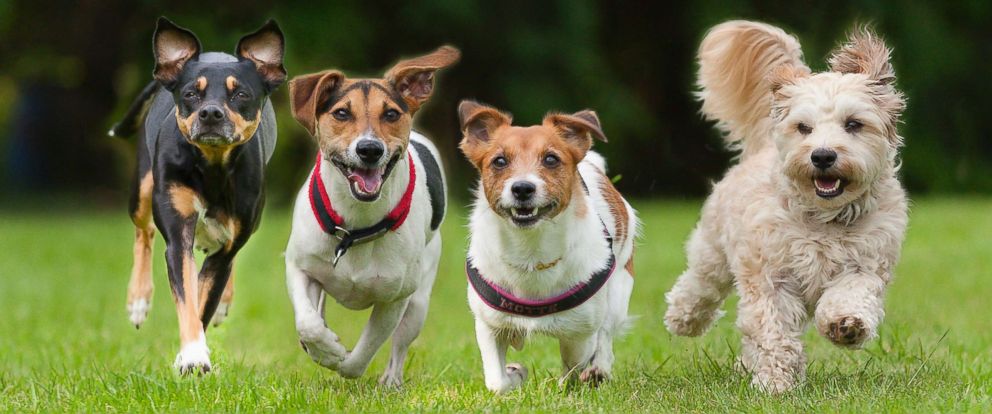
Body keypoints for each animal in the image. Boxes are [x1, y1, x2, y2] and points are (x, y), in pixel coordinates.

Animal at [109, 17, 286, 376]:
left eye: (241, 94)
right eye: (191, 93)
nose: (211, 113)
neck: (212, 167)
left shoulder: (228, 244)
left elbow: (204, 301)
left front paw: (191, 354)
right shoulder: (179, 236)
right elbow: (188, 299)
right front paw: (192, 356)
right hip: (142, 189)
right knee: (143, 232)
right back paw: (138, 300)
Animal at [284, 47, 460, 386]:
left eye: (390, 114)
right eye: (341, 113)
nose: (369, 149)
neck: (355, 227)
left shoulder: (395, 298)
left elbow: (362, 354)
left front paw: (339, 359)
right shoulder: (300, 266)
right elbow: (308, 323)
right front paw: (325, 347)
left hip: (419, 300)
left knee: (400, 344)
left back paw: (391, 381)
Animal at [462, 101, 640, 394]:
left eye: (551, 159)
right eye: (499, 161)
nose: (522, 188)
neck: (531, 253)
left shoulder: (580, 333)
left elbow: (573, 366)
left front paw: (571, 382)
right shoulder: (489, 325)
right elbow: (497, 382)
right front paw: (515, 374)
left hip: (619, 289)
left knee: (605, 334)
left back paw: (599, 369)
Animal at [668, 20, 908, 394]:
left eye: (853, 124)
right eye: (803, 127)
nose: (822, 155)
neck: (824, 219)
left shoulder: (867, 265)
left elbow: (852, 294)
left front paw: (846, 324)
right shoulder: (771, 277)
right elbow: (773, 329)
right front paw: (774, 383)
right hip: (714, 249)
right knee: (701, 283)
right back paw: (684, 317)